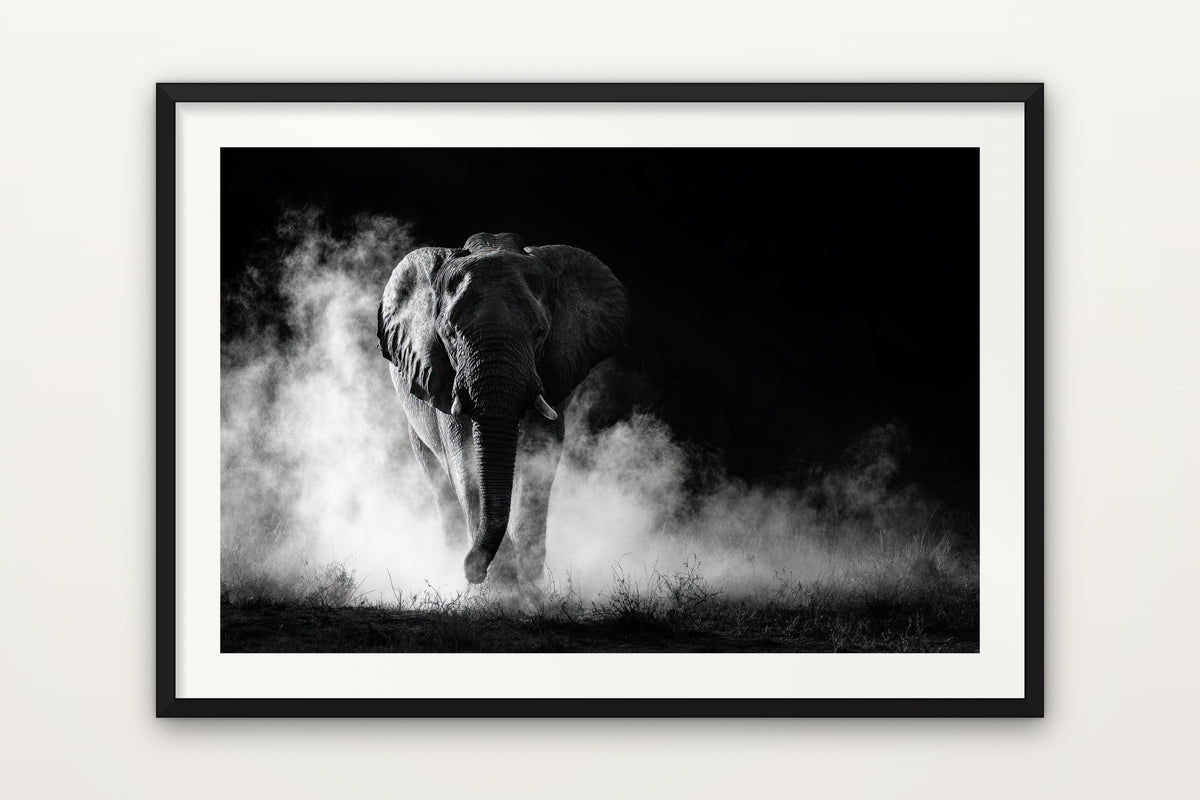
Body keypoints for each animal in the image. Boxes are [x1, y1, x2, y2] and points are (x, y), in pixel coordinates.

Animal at [377, 232, 632, 586]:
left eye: (540, 332)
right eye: (450, 334)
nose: (472, 570)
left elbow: (540, 462)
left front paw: (529, 590)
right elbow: (465, 464)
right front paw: (502, 591)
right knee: (438, 481)